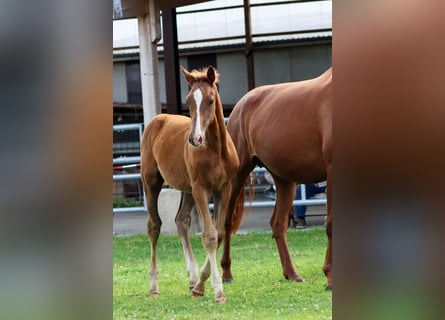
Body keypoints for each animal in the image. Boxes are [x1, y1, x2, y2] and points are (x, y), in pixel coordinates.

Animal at [141, 67, 239, 302]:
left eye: (211, 100)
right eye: (188, 101)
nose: (195, 139)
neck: (216, 150)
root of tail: (157, 119)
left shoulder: (224, 189)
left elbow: (219, 234)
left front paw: (200, 286)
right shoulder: (201, 190)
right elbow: (209, 235)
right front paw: (217, 290)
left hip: (186, 189)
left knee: (181, 221)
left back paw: (193, 278)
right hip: (152, 182)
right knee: (154, 226)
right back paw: (154, 285)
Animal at [220, 67, 332, 290]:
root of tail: (240, 106)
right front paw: (330, 277)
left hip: (284, 180)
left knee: (278, 224)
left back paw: (292, 273)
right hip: (237, 176)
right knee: (227, 221)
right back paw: (226, 273)